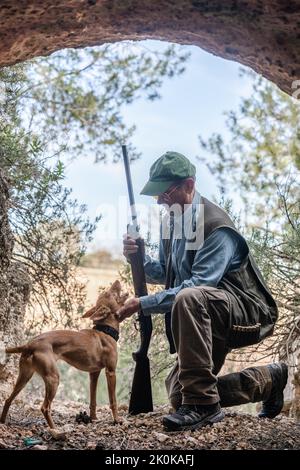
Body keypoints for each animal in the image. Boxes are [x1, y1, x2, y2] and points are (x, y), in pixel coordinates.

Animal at [0, 280, 127, 428]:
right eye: (111, 293)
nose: (117, 281)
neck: (105, 331)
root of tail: (30, 344)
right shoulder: (110, 372)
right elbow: (113, 401)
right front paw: (117, 420)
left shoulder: (93, 373)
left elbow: (93, 400)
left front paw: (93, 418)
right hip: (53, 378)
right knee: (45, 407)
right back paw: (55, 429)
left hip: (24, 377)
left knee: (8, 400)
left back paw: (2, 421)